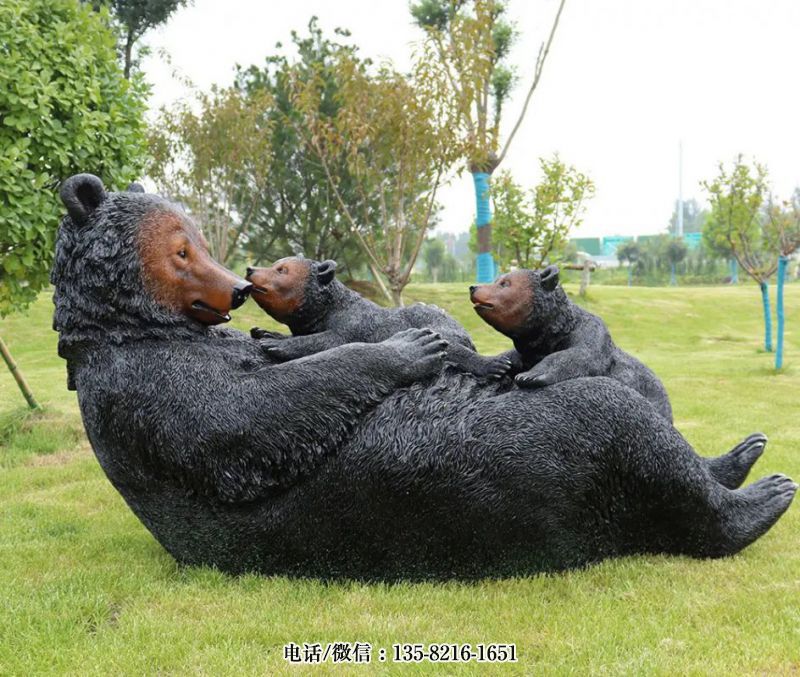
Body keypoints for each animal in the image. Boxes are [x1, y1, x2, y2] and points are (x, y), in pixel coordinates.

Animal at [245, 256, 511, 378]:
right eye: (275, 264)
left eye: (281, 270)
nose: (250, 269)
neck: (330, 308)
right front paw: (268, 332)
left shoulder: (354, 323)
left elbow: (332, 341)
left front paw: (277, 343)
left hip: (441, 327)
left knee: (450, 346)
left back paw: (491, 364)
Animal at [470, 265, 673, 421]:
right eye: (497, 279)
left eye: (504, 283)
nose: (474, 287)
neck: (552, 332)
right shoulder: (529, 352)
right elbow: (508, 357)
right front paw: (494, 365)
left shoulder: (590, 334)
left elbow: (580, 355)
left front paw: (530, 376)